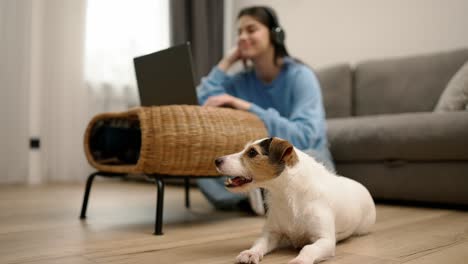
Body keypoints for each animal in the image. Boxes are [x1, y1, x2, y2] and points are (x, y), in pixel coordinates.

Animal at [216, 137, 376, 262]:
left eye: (252, 152)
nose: (216, 160)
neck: (286, 195)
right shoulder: (271, 234)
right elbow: (259, 243)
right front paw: (250, 253)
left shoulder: (325, 240)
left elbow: (308, 249)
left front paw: (299, 260)